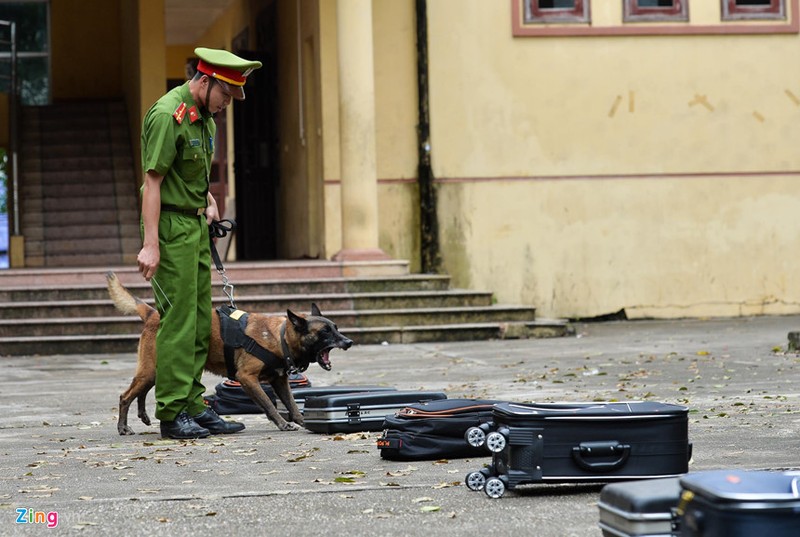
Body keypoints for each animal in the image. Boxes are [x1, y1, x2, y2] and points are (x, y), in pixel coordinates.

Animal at [106, 272, 354, 436]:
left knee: (141, 393)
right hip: (151, 370)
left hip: (155, 371)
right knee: (125, 396)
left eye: (336, 327)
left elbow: (292, 404)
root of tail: (153, 314)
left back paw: (144, 417)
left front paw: (302, 420)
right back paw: (123, 427)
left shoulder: (280, 382)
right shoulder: (247, 379)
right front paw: (283, 424)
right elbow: (269, 404)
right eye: (324, 332)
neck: (279, 337)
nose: (349, 342)